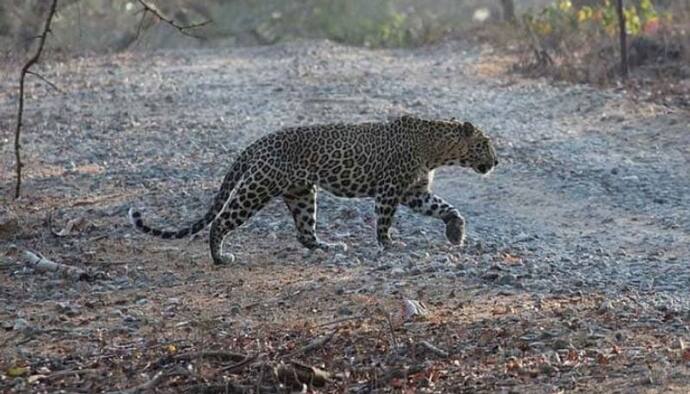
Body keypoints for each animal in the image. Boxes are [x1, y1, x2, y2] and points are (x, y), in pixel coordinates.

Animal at [127, 115, 494, 266]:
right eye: (484, 144)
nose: (498, 161)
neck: (438, 149)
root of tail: (258, 143)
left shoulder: (414, 192)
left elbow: (446, 208)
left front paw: (456, 233)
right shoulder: (391, 191)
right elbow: (384, 221)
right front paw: (389, 244)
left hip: (302, 193)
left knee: (304, 233)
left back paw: (329, 247)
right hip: (257, 188)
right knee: (221, 221)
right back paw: (220, 258)